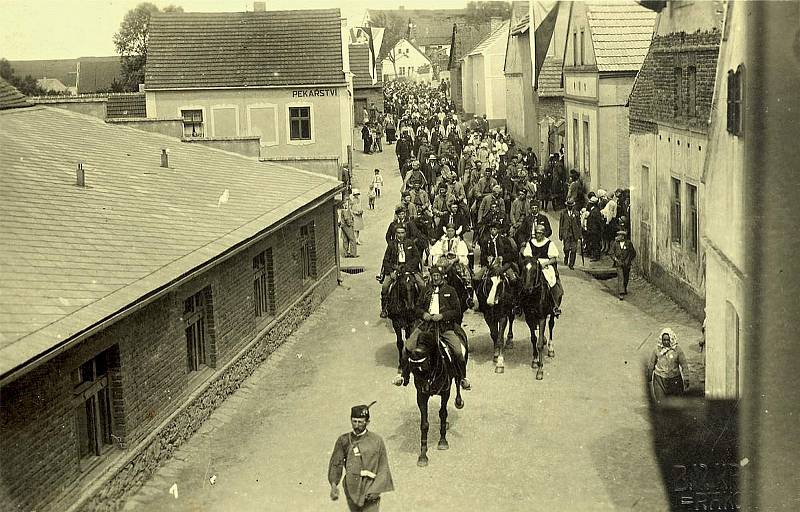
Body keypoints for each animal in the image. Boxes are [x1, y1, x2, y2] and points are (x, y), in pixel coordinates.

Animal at [406, 326, 462, 466]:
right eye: (414, 370)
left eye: (427, 364)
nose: (425, 385)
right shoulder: (421, 396)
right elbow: (424, 424)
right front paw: (422, 455)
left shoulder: (445, 392)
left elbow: (442, 413)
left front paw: (442, 441)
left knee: (459, 380)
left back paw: (459, 401)